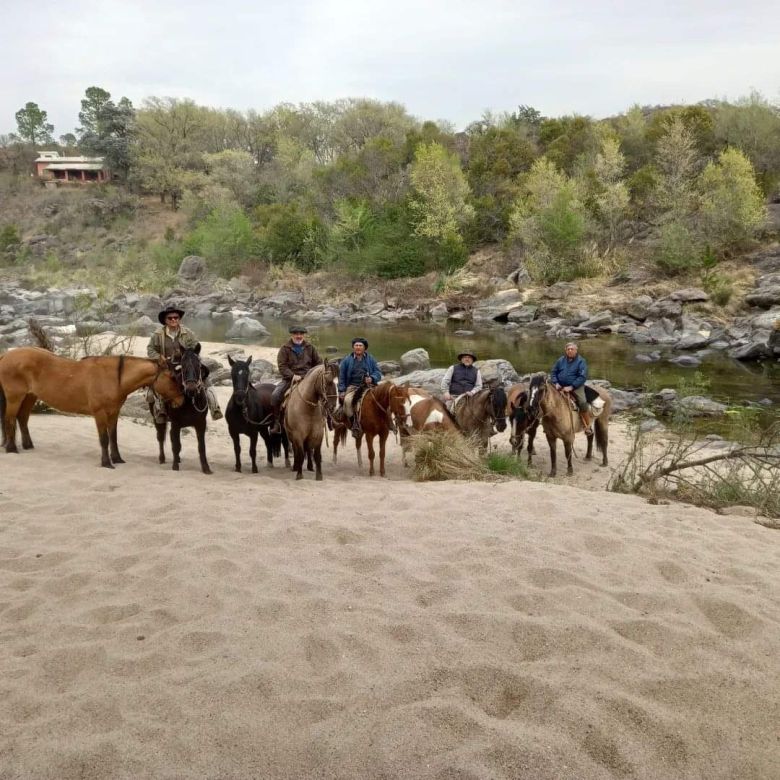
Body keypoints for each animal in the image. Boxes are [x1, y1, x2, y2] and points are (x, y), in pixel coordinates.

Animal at [0, 348, 184, 470]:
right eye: (172, 377)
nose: (182, 400)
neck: (113, 377)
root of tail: (6, 355)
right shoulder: (100, 414)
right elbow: (104, 439)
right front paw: (106, 463)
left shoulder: (113, 413)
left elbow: (113, 437)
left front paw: (117, 458)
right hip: (15, 397)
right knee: (10, 419)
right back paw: (11, 448)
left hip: (30, 396)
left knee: (22, 418)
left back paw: (27, 445)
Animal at [151, 348, 212, 476]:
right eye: (183, 366)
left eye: (198, 366)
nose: (191, 389)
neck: (189, 401)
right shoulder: (176, 424)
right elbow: (176, 445)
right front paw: (175, 466)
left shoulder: (201, 424)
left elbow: (201, 446)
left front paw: (206, 468)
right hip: (157, 418)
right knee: (160, 437)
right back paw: (162, 458)